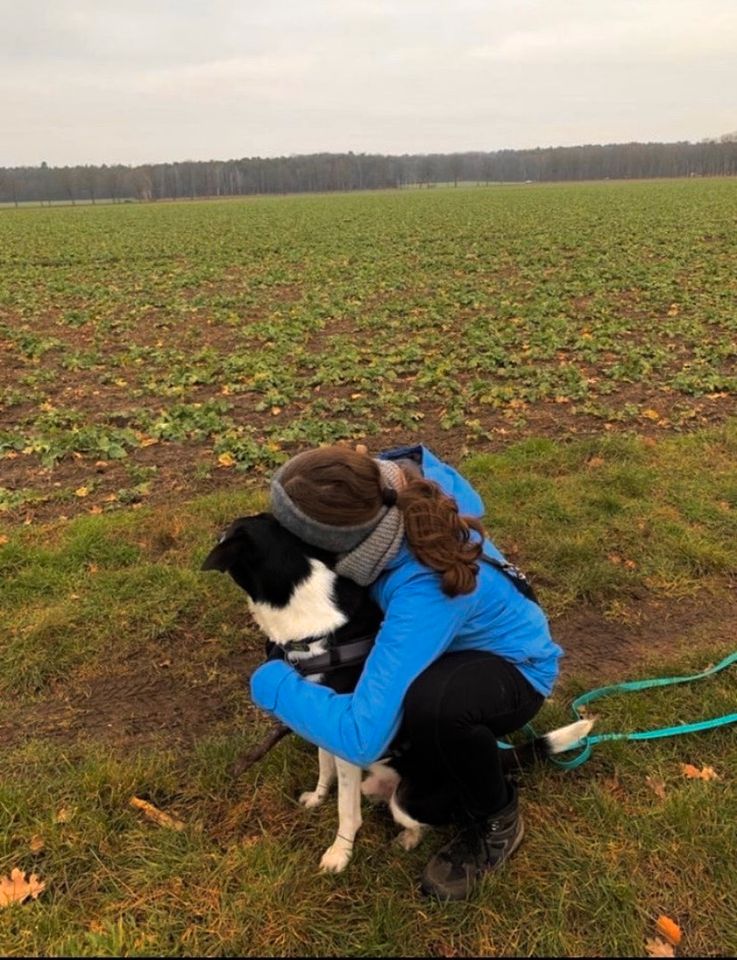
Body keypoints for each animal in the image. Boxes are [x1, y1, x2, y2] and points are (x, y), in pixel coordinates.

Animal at [203, 512, 592, 872]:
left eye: (226, 532)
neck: (308, 617)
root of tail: (499, 756)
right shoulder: (320, 719)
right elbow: (324, 769)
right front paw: (317, 798)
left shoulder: (347, 736)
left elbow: (346, 811)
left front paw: (339, 853)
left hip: (408, 799)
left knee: (426, 821)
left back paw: (409, 838)